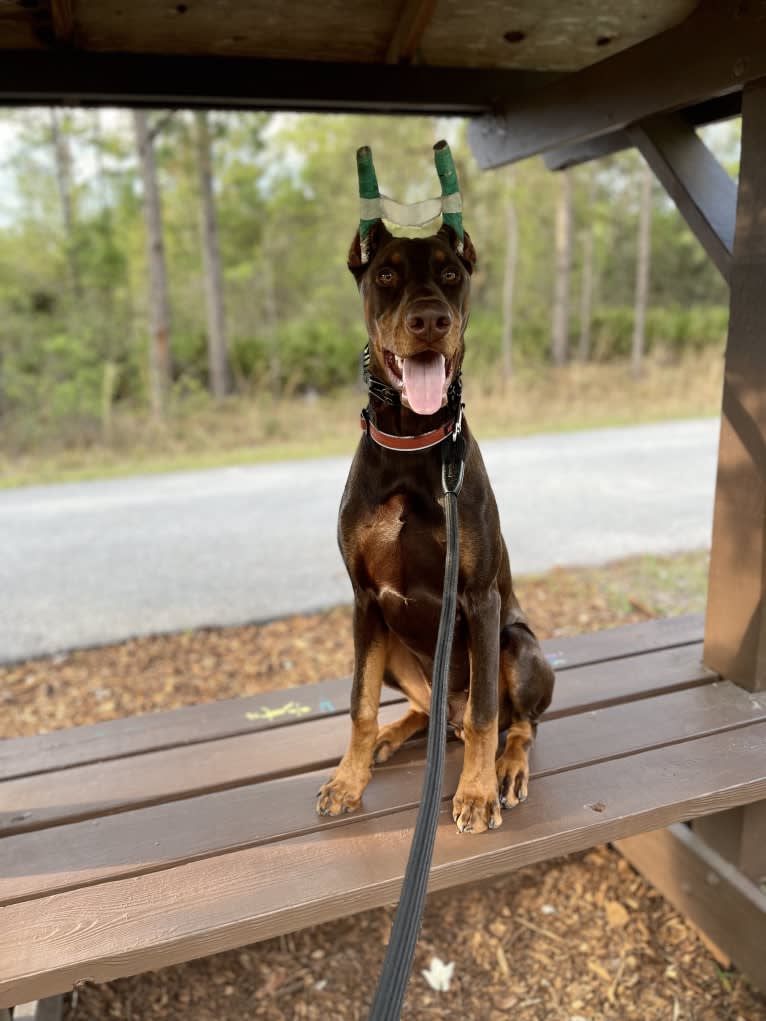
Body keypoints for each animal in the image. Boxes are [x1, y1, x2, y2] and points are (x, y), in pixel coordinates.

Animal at [314, 219, 555, 833]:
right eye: (386, 275)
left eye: (450, 273)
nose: (429, 321)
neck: (413, 440)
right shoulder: (365, 600)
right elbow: (359, 704)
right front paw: (348, 781)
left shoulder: (479, 599)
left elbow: (486, 715)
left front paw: (476, 793)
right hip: (396, 649)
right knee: (426, 709)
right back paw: (393, 734)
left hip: (518, 644)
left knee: (517, 723)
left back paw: (507, 769)